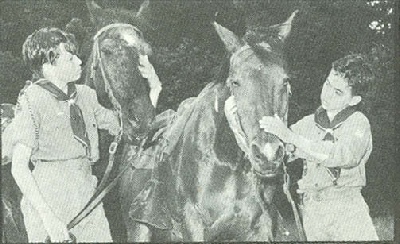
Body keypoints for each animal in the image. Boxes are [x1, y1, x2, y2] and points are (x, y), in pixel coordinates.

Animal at [120, 12, 298, 241]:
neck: (228, 162)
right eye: (235, 82)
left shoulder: (258, 228)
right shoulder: (193, 224)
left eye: (285, 81)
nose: (267, 154)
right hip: (138, 229)